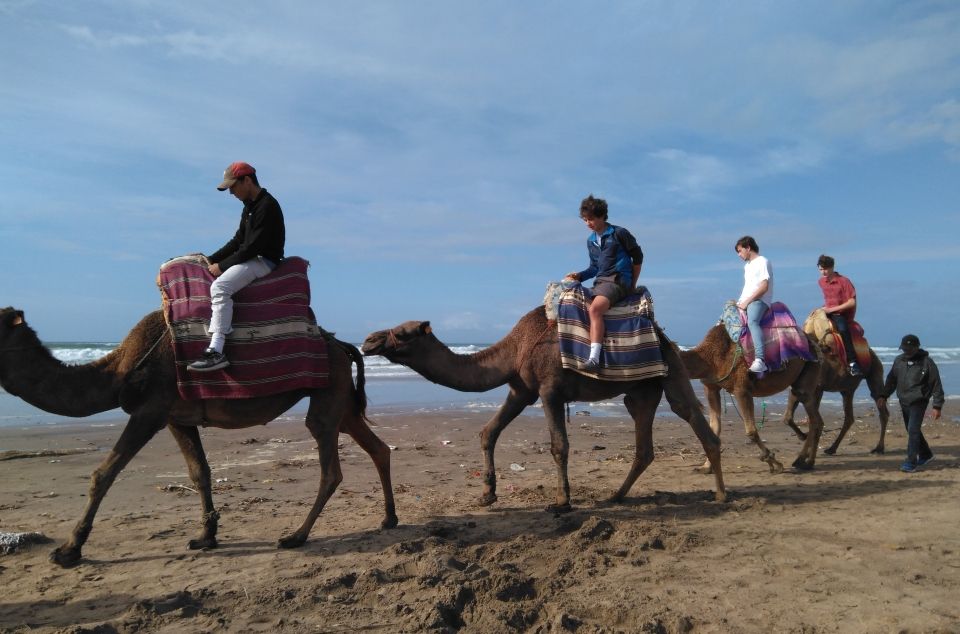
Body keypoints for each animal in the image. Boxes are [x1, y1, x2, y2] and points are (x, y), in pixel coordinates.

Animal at [0, 304, 398, 564]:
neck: (119, 371)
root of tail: (341, 345)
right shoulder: (177, 418)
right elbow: (199, 472)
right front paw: (207, 537)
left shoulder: (150, 411)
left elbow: (104, 473)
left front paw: (69, 550)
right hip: (342, 401)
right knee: (377, 448)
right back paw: (389, 519)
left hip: (327, 393)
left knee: (330, 466)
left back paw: (296, 536)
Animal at [362, 304, 728, 512]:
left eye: (402, 333)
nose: (367, 341)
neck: (515, 348)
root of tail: (665, 337)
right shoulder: (521, 391)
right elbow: (488, 432)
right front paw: (487, 495)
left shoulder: (550, 388)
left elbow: (559, 446)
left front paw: (563, 501)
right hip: (641, 391)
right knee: (644, 446)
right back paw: (615, 496)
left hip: (672, 371)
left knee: (691, 417)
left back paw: (722, 495)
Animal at [676, 324, 824, 472]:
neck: (710, 356)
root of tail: (814, 343)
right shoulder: (711, 387)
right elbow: (715, 427)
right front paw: (706, 467)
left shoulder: (742, 389)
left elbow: (751, 430)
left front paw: (774, 462)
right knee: (816, 418)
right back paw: (806, 460)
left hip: (811, 367)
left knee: (814, 419)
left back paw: (803, 461)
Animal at [784, 308, 888, 452]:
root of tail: (871, 352)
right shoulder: (800, 388)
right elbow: (788, 417)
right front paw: (803, 437)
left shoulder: (817, 388)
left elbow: (812, 420)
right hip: (847, 389)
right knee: (849, 417)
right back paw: (832, 448)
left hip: (875, 373)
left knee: (881, 408)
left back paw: (879, 448)